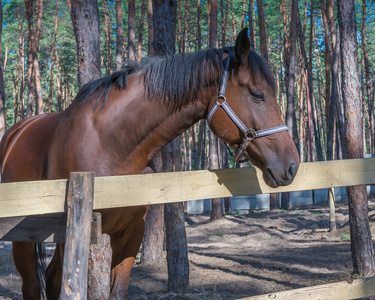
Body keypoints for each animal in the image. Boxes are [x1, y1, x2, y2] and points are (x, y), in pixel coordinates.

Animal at [0, 28, 300, 300]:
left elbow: (118, 292)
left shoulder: (131, 233)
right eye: (258, 95)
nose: (292, 165)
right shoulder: (72, 237)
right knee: (32, 286)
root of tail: (15, 134)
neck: (111, 144)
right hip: (22, 239)